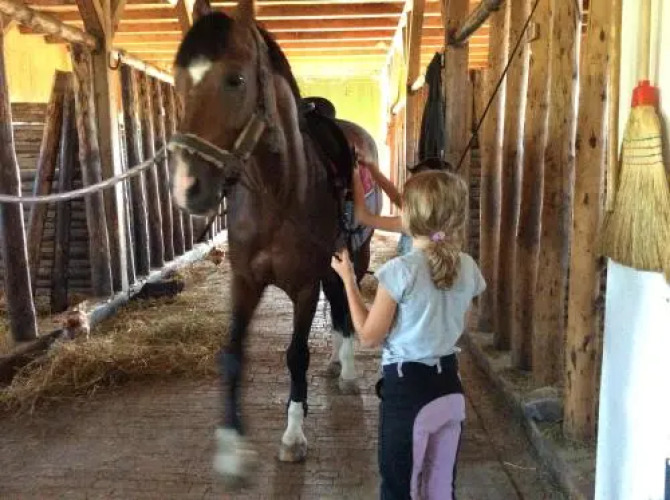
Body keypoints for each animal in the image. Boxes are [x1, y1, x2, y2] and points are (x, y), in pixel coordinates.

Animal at [167, 0, 382, 480]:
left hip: (355, 255)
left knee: (348, 307)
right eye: (179, 81)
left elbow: (296, 355)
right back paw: (336, 363)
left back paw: (347, 371)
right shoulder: (245, 281)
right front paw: (231, 449)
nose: (188, 188)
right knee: (339, 302)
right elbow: (232, 354)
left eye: (236, 79)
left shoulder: (303, 288)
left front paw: (293, 436)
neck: (279, 193)